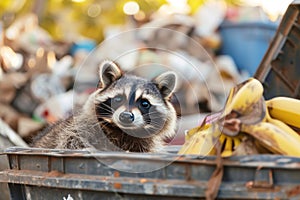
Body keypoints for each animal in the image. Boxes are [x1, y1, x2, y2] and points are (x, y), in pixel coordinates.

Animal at [32, 60, 178, 152]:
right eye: (118, 98)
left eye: (144, 103)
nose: (126, 116)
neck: (122, 132)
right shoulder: (78, 129)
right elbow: (70, 143)